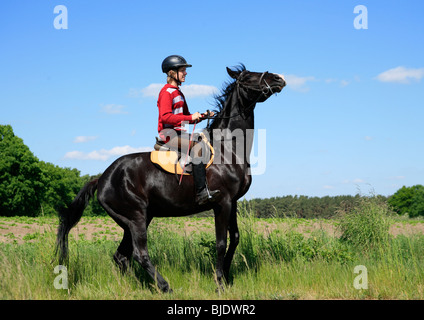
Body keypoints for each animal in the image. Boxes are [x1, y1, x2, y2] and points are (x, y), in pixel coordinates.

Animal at [56, 65, 286, 292]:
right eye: (247, 78)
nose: (279, 78)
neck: (227, 147)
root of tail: (102, 178)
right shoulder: (222, 202)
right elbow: (221, 243)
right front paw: (219, 283)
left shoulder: (233, 202)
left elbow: (235, 239)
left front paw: (226, 277)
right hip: (136, 218)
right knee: (139, 254)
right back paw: (165, 286)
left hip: (135, 220)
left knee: (122, 256)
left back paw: (135, 287)